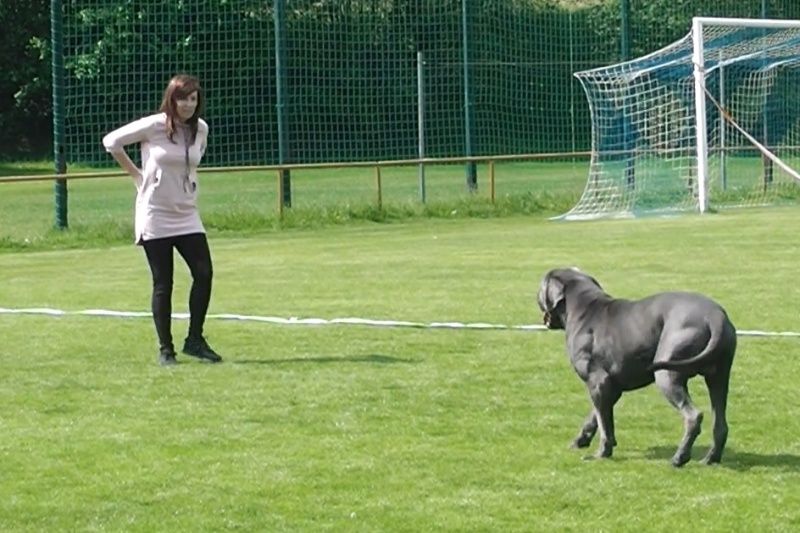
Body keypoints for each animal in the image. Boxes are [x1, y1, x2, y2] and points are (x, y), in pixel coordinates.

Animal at [536, 268, 736, 464]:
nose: (536, 294)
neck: (583, 309)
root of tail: (714, 317)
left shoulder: (597, 381)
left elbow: (604, 424)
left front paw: (601, 453)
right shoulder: (609, 386)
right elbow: (596, 416)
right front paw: (581, 440)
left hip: (666, 374)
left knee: (693, 416)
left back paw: (679, 457)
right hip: (718, 378)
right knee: (720, 424)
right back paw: (710, 458)